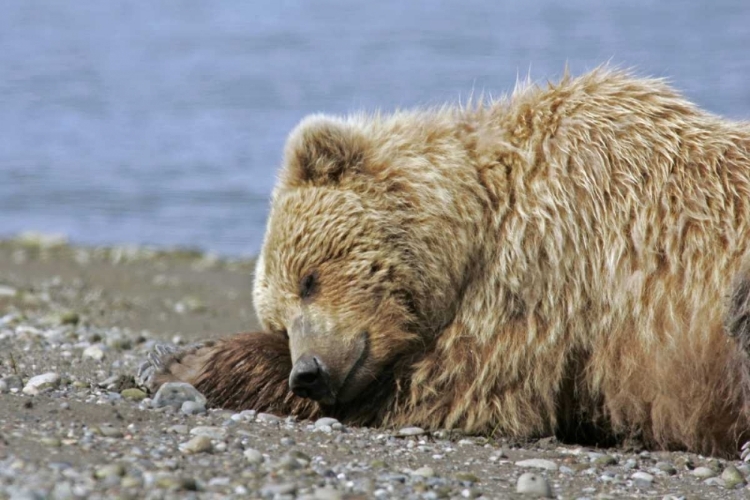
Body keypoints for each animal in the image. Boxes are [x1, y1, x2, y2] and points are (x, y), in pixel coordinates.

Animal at [138, 68, 750, 458]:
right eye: (280, 320)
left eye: (309, 278)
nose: (308, 372)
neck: (478, 221)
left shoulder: (550, 253)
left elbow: (457, 382)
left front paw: (179, 361)